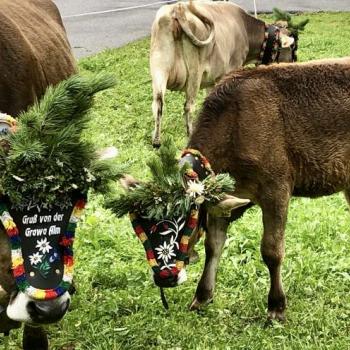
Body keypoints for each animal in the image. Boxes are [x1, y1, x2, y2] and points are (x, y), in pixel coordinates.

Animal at [150, 0, 306, 146]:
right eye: (293, 47)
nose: (294, 64)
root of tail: (176, 10)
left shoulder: (212, 79)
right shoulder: (232, 68)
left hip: (159, 67)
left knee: (158, 104)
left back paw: (157, 142)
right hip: (195, 70)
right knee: (188, 107)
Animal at [187, 56, 350, 322]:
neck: (232, 124)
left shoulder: (277, 187)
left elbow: (272, 251)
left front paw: (276, 305)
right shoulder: (224, 199)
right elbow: (213, 245)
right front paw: (202, 296)